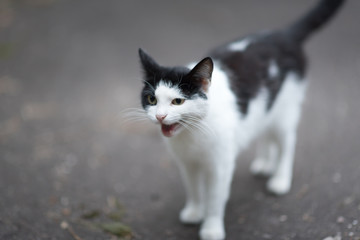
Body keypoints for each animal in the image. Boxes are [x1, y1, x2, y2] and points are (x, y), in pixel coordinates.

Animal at [136, 0, 346, 240]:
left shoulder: (221, 165)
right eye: (152, 99)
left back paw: (280, 179)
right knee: (265, 131)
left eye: (178, 101)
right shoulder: (187, 163)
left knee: (287, 141)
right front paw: (194, 211)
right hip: (266, 109)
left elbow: (215, 199)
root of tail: (282, 35)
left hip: (286, 111)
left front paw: (211, 228)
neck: (192, 133)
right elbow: (193, 188)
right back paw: (264, 163)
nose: (160, 116)